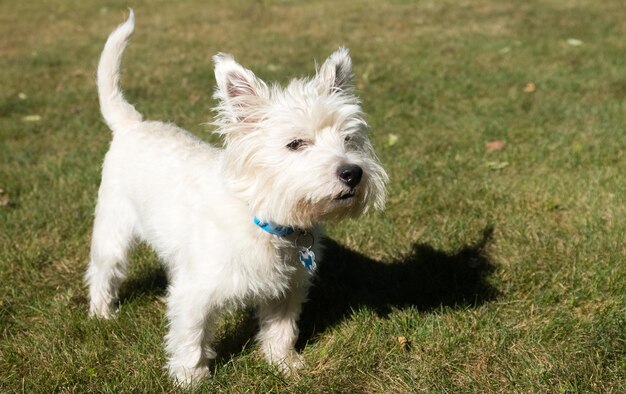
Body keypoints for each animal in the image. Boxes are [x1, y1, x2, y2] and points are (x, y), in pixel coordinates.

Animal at [83, 10, 386, 384]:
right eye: (295, 143)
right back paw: (101, 314)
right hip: (114, 227)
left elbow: (281, 329)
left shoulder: (288, 288)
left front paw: (283, 364)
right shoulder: (195, 293)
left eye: (348, 139)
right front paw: (191, 379)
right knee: (102, 271)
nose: (352, 173)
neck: (264, 217)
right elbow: (191, 337)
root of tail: (132, 124)